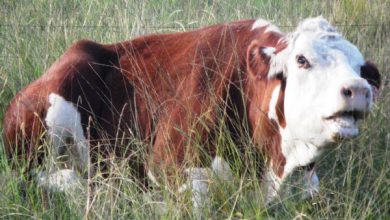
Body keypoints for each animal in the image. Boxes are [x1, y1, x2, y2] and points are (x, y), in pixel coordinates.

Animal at [2, 16, 380, 211]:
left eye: (360, 66)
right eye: (302, 60)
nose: (358, 89)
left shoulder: (307, 184)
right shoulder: (170, 166)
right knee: (45, 177)